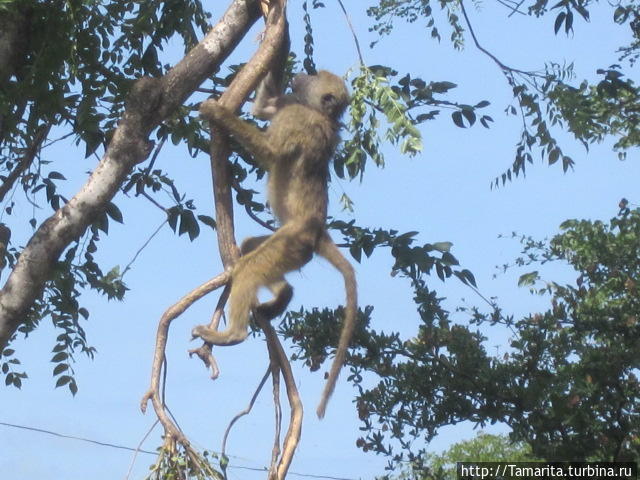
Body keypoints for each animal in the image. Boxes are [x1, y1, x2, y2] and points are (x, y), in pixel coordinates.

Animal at [196, 69, 356, 418]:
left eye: (314, 75)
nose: (300, 74)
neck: (318, 112)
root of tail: (318, 233)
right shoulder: (290, 106)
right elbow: (263, 108)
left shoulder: (296, 118)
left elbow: (271, 152)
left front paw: (216, 112)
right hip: (289, 248)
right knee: (250, 249)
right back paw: (282, 296)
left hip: (291, 245)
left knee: (250, 268)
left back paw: (233, 335)